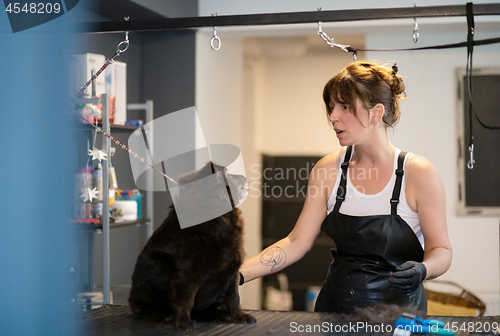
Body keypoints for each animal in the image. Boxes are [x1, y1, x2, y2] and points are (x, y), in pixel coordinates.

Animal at [130, 163, 254, 330]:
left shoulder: (232, 268)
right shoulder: (188, 273)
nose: (245, 177)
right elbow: (186, 300)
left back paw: (221, 314)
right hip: (158, 265)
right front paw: (183, 322)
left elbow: (234, 297)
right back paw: (165, 315)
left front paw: (239, 315)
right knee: (145, 309)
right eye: (227, 174)